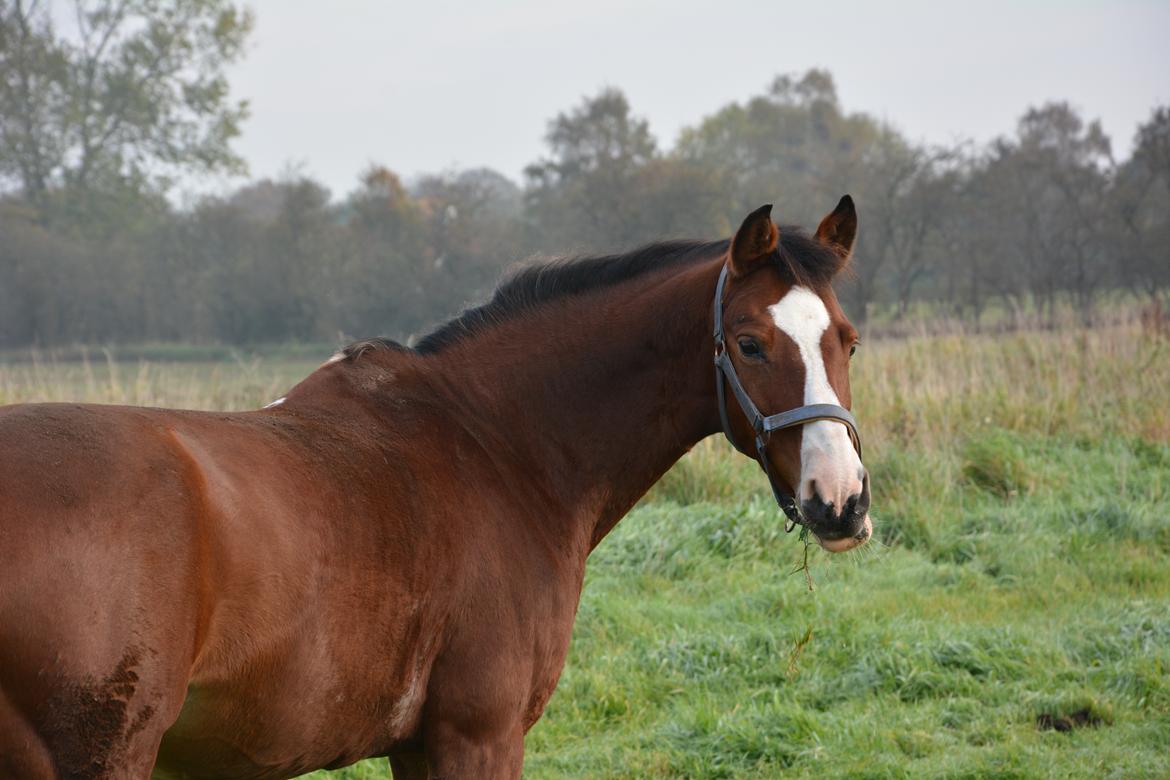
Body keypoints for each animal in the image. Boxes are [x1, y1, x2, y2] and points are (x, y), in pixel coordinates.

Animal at [0, 198, 870, 776]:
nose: (842, 499)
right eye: (749, 343)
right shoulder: (476, 735)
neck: (496, 445)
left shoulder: (419, 744)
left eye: (848, 339)